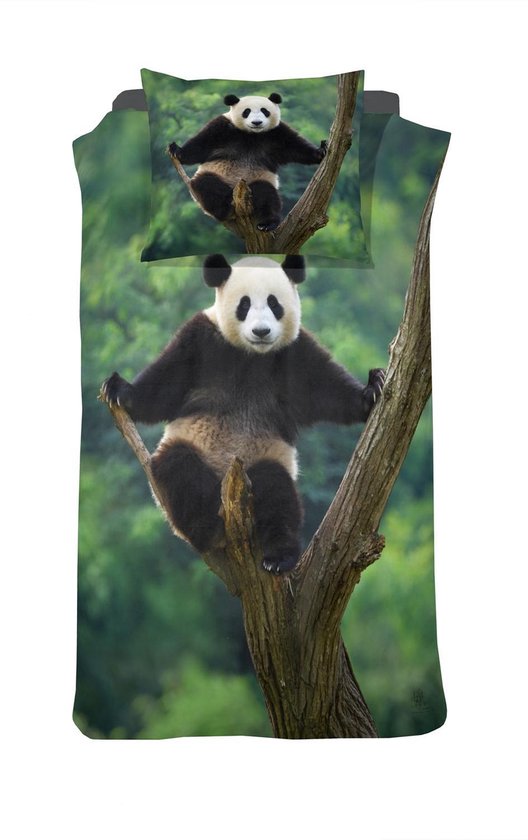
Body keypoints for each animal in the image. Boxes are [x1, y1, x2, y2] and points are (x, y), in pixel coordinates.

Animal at [100, 255, 385, 574]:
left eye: (274, 304)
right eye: (244, 305)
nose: (261, 332)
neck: (252, 355)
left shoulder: (294, 353)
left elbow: (326, 387)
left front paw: (371, 391)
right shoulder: (200, 341)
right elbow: (164, 385)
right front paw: (120, 390)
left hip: (267, 457)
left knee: (276, 491)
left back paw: (278, 557)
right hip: (188, 454)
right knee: (180, 468)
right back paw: (207, 528)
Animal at [169, 93, 327, 231]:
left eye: (264, 111)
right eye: (247, 111)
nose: (256, 122)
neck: (252, 135)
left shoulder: (276, 133)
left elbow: (297, 147)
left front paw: (320, 151)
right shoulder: (222, 128)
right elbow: (201, 145)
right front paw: (177, 150)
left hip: (259, 179)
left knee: (266, 194)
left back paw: (267, 223)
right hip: (215, 176)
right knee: (206, 184)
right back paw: (224, 208)